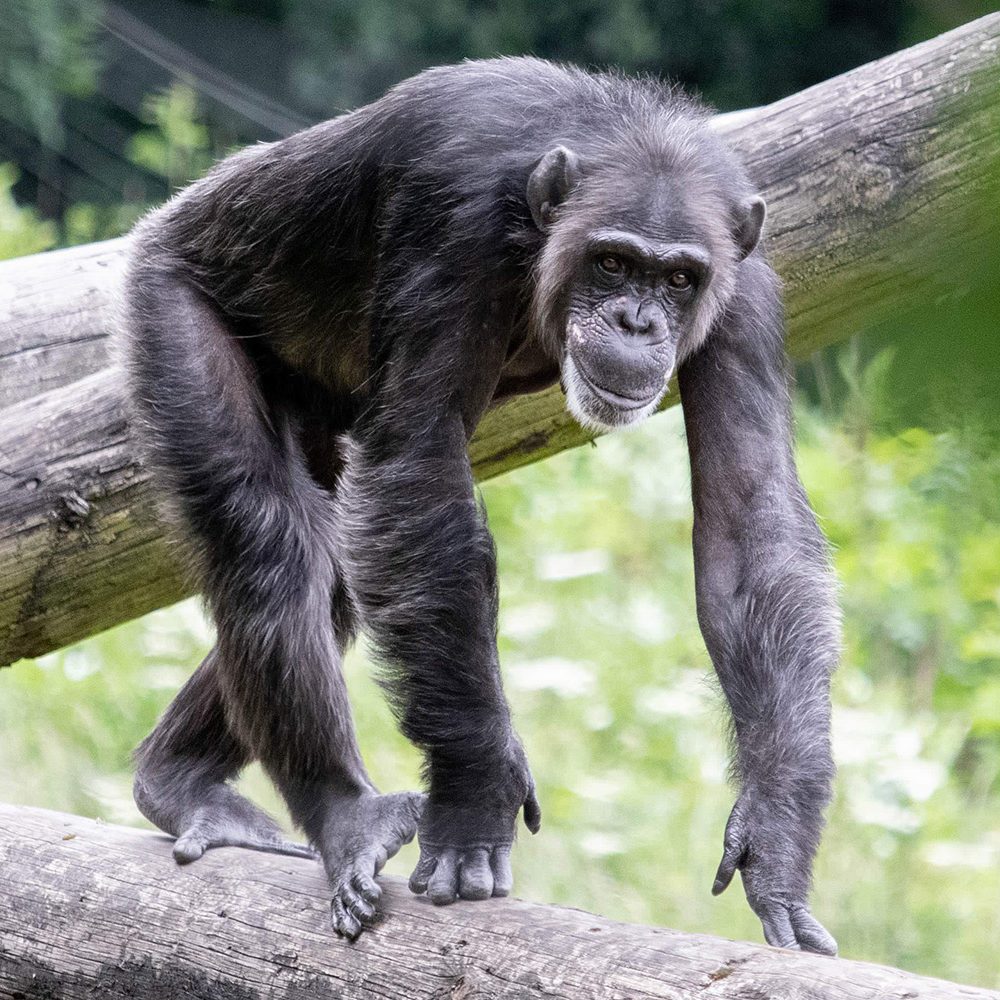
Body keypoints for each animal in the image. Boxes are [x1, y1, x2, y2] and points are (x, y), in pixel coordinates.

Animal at [125, 56, 844, 952]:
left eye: (679, 278)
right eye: (613, 264)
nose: (637, 321)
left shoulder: (745, 292)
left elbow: (750, 522)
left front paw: (778, 838)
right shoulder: (454, 224)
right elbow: (417, 464)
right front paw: (475, 793)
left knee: (335, 580)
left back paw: (178, 777)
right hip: (170, 301)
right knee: (267, 544)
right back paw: (338, 815)